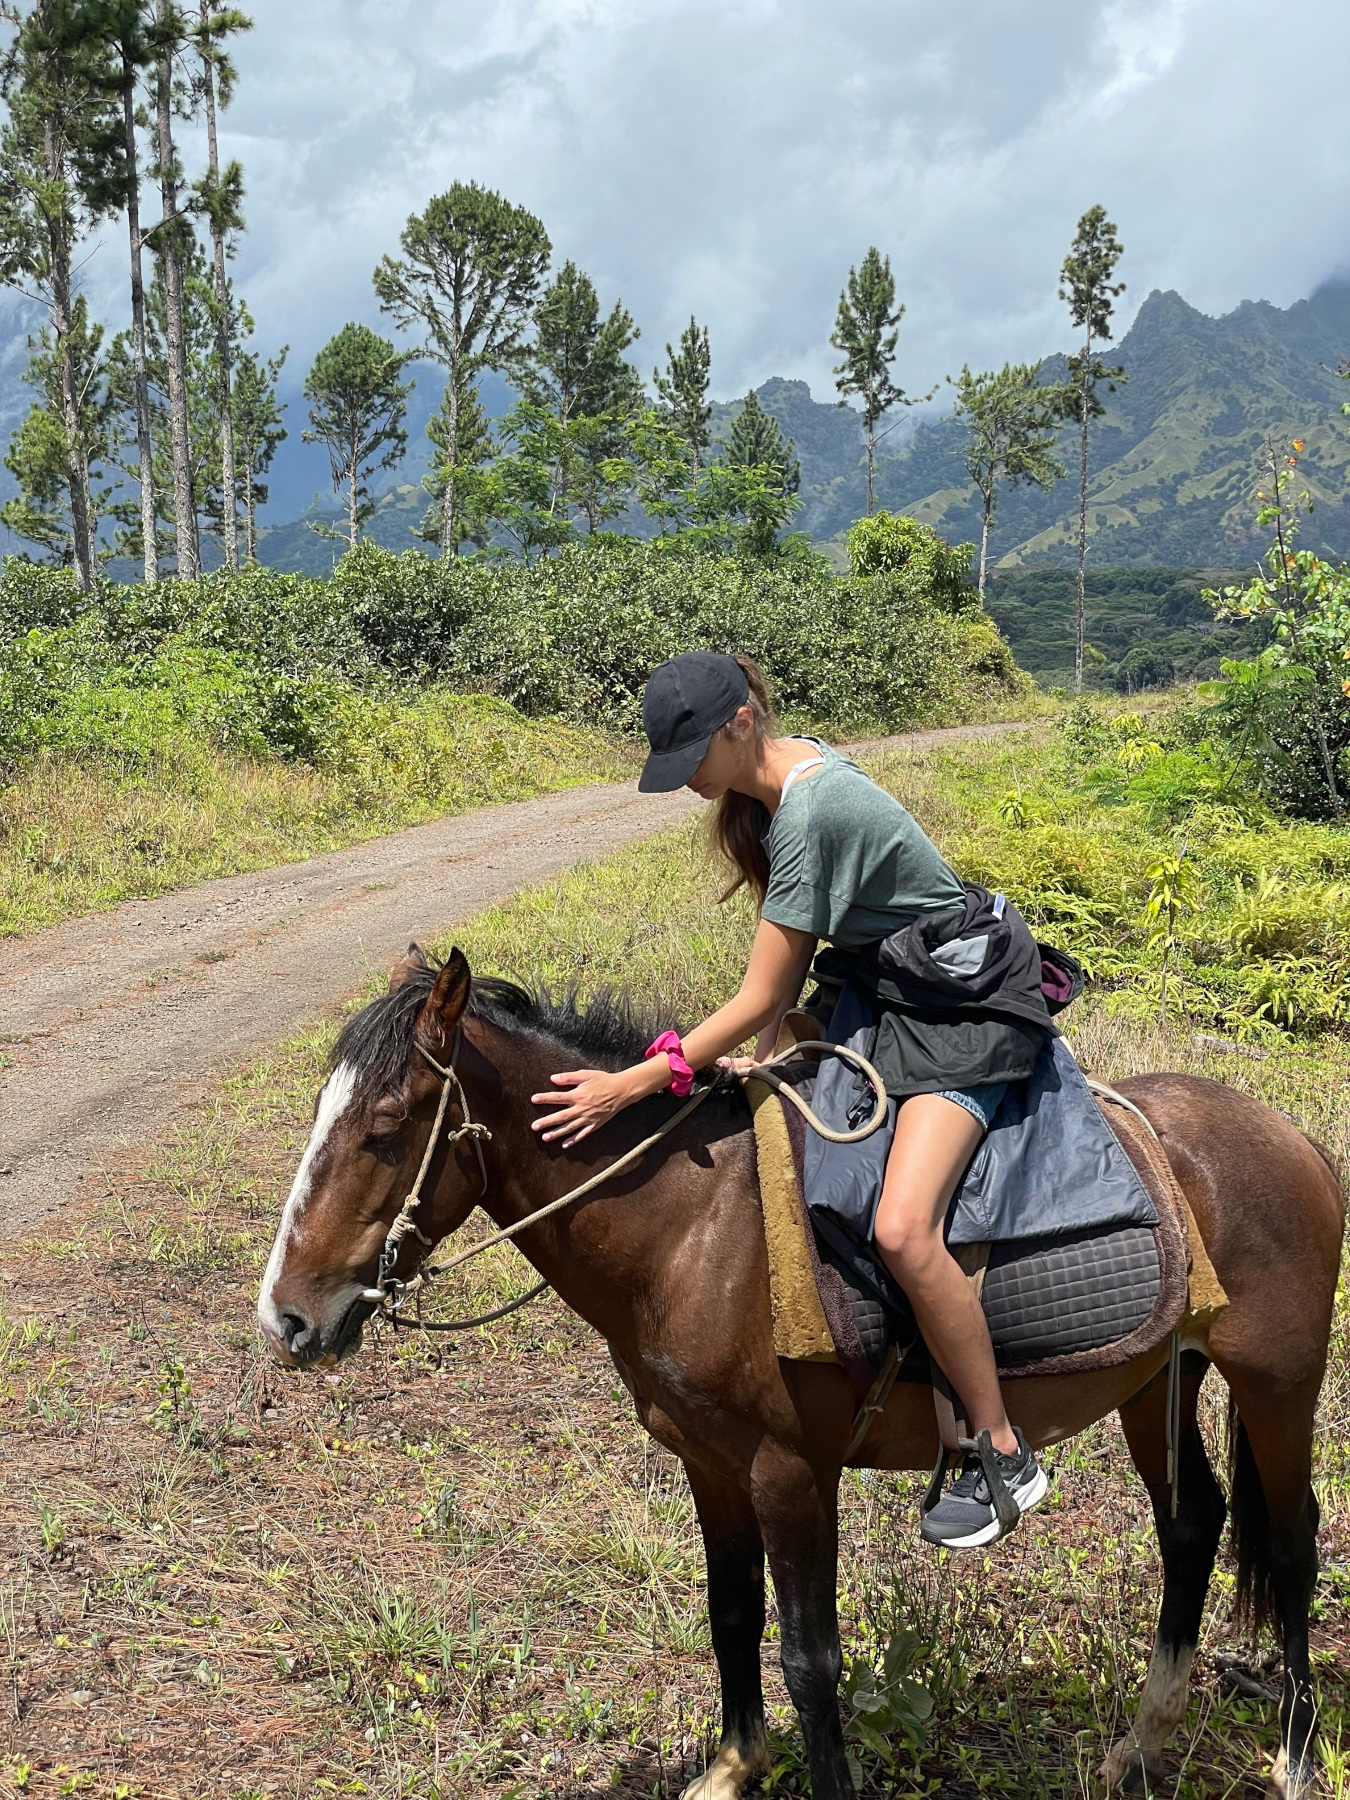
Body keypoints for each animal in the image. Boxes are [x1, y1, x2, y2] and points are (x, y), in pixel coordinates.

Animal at [259, 950, 1346, 1792]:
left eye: (386, 1128)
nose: (288, 1317)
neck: (693, 1229)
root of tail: (1294, 1138)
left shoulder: (791, 1471)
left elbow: (810, 1660)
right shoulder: (709, 1463)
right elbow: (731, 1614)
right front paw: (733, 1766)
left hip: (1276, 1383)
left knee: (1293, 1542)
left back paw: (1294, 1758)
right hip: (1157, 1379)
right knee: (1192, 1525)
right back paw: (1139, 1745)